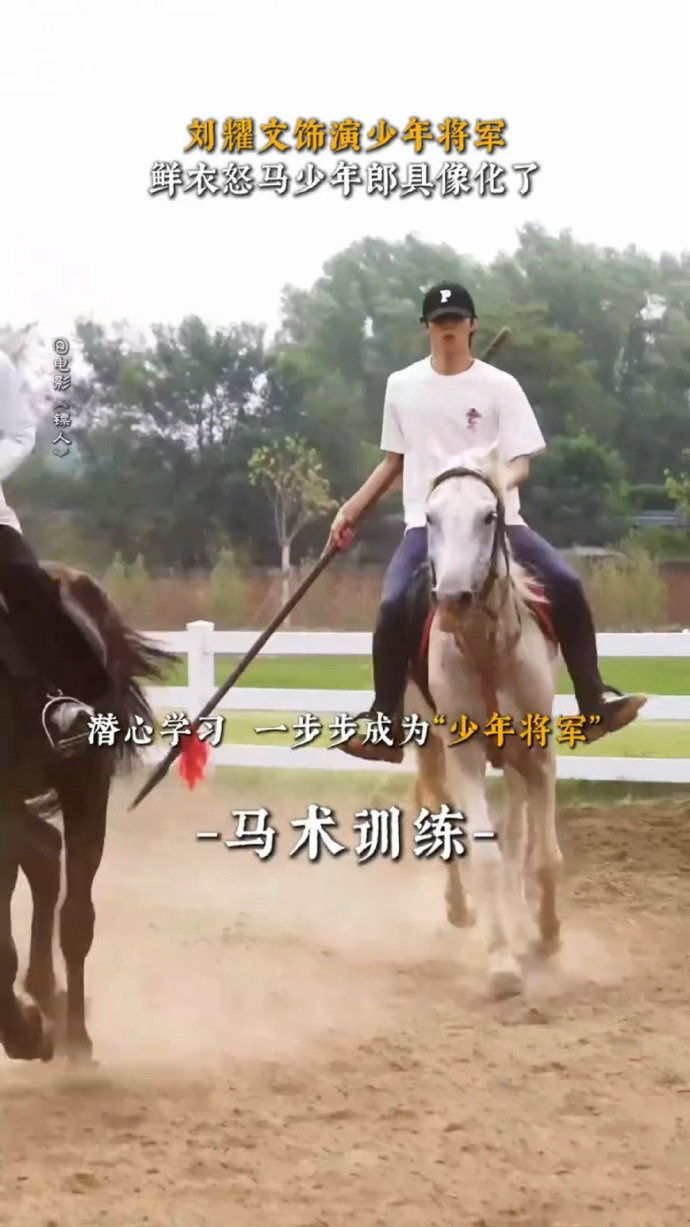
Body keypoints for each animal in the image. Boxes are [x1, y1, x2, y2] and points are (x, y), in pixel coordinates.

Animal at [0, 563, 178, 1063]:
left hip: (85, 783)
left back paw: (71, 1032)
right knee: (43, 854)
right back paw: (46, 999)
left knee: (74, 912)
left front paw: (28, 1032)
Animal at [404, 448, 563, 1000]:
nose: (452, 598)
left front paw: (546, 935)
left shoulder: (539, 756)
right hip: (430, 748)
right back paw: (460, 909)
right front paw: (502, 964)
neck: (487, 650)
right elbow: (486, 855)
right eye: (430, 517)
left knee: (517, 836)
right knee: (441, 813)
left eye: (489, 515)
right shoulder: (465, 757)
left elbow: (541, 855)